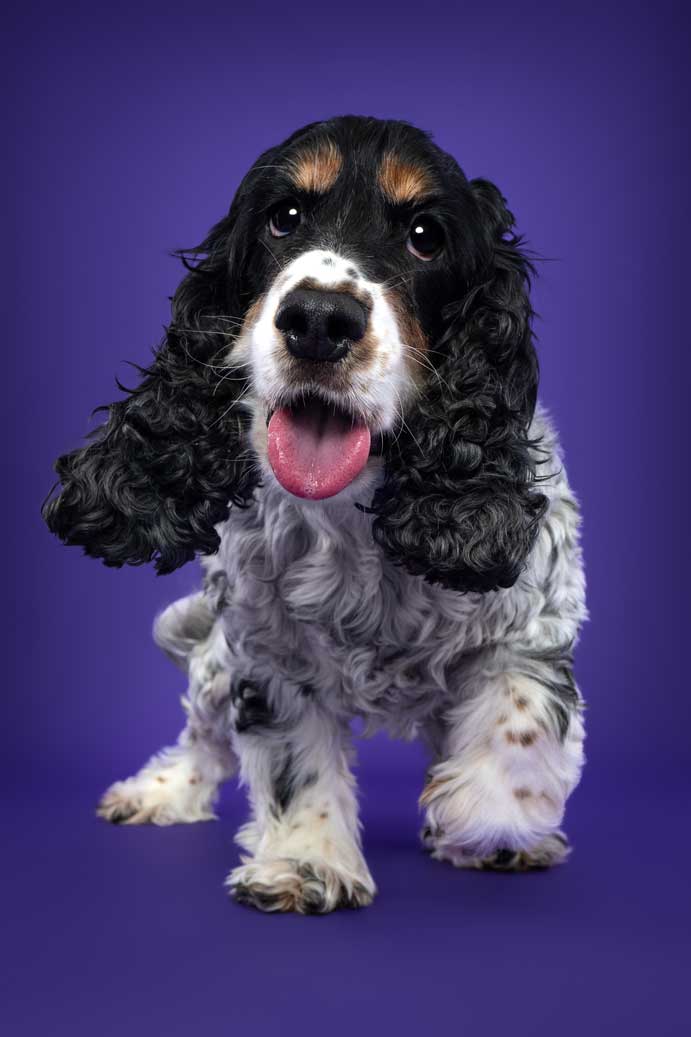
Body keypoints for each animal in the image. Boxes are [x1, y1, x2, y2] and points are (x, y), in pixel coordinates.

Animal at [43, 115, 586, 913]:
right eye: (284, 217)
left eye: (425, 235)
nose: (320, 320)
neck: (359, 505)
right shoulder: (268, 652)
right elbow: (293, 759)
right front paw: (306, 863)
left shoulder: (533, 621)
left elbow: (517, 721)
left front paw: (489, 817)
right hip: (214, 662)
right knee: (203, 734)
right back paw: (160, 790)